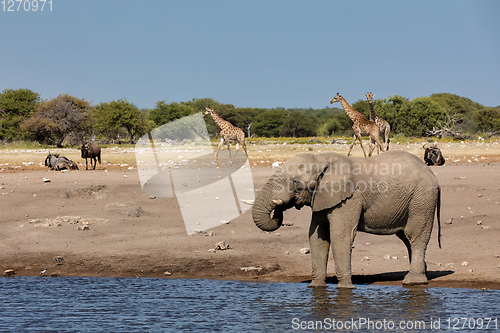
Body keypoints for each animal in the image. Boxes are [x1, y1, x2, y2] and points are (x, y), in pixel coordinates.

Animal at [252, 150, 440, 288]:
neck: (320, 159)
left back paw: (413, 282)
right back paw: (422, 275)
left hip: (422, 200)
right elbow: (317, 237)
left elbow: (339, 237)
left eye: (296, 182)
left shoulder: (349, 199)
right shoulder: (322, 197)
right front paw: (316, 287)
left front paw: (344, 289)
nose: (278, 207)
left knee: (415, 236)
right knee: (407, 239)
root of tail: (431, 172)